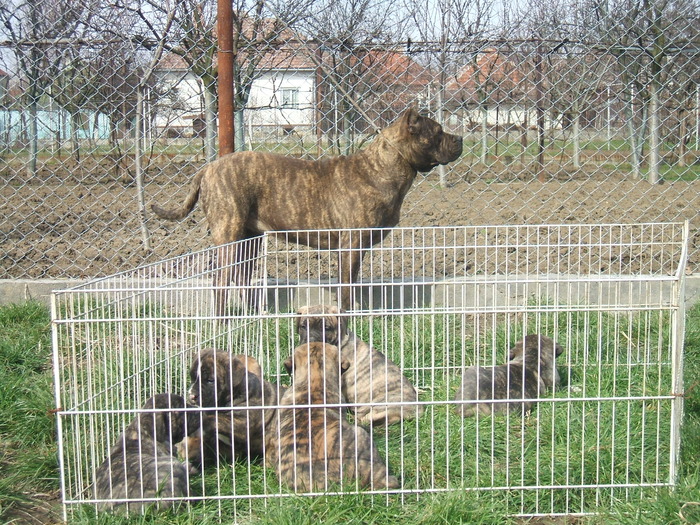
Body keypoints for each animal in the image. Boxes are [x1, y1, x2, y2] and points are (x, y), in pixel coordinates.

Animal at [150, 106, 462, 312]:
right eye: (437, 132)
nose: (458, 138)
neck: (382, 167)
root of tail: (207, 169)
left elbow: (352, 282)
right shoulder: (351, 245)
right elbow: (346, 286)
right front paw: (349, 316)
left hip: (250, 239)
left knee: (241, 278)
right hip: (229, 232)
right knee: (221, 282)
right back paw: (221, 323)